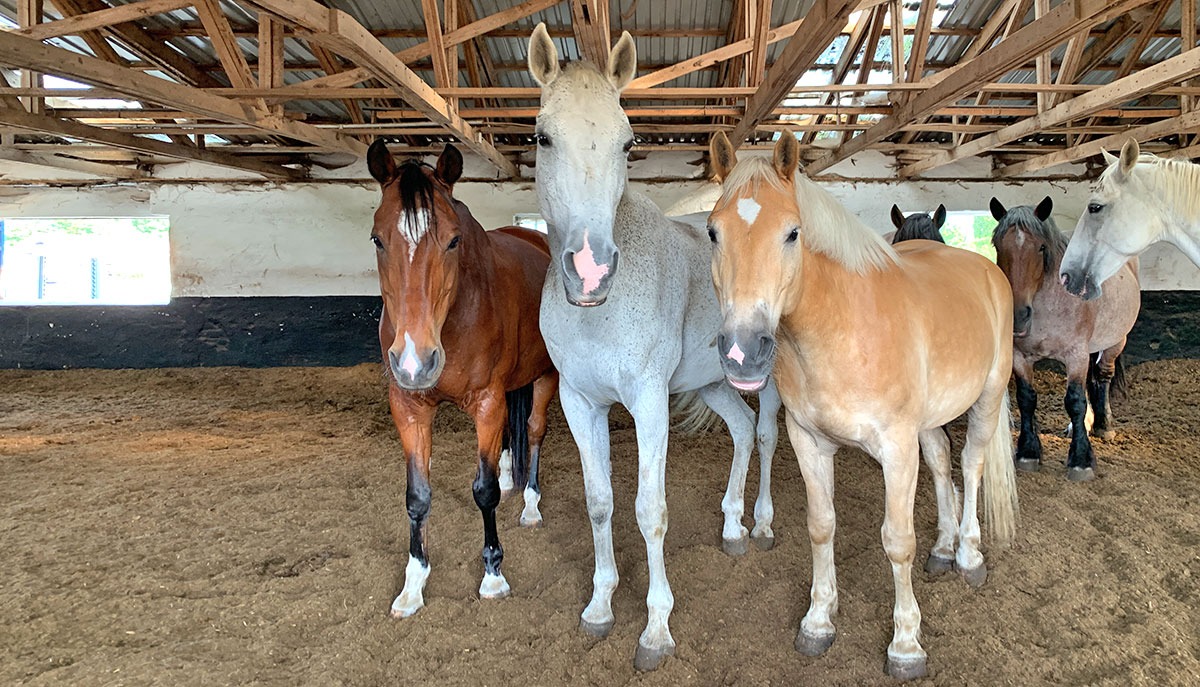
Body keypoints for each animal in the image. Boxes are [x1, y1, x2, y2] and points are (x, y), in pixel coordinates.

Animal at [364, 142, 556, 619]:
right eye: (377, 238)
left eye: (453, 240)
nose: (414, 361)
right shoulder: (408, 407)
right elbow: (417, 496)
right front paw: (413, 585)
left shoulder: (487, 402)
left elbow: (482, 492)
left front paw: (493, 575)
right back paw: (510, 478)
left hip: (547, 377)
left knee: (534, 431)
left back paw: (530, 505)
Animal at [530, 25, 782, 672]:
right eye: (542, 136)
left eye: (628, 141)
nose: (590, 269)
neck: (598, 314)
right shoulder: (579, 403)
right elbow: (599, 502)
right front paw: (599, 606)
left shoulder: (648, 402)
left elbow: (650, 510)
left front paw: (656, 628)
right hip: (715, 383)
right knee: (742, 430)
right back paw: (732, 530)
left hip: (767, 380)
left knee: (767, 434)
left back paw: (761, 525)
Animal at [705, 132, 1017, 682]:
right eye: (712, 232)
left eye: (792, 233)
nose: (743, 350)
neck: (841, 326)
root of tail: (985, 269)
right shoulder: (809, 442)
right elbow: (821, 526)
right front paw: (818, 620)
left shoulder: (896, 449)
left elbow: (897, 540)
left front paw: (906, 645)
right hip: (928, 422)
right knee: (942, 460)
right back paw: (944, 547)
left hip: (989, 397)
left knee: (971, 464)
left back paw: (968, 555)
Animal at [988, 195, 1137, 480]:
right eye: (997, 246)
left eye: (1041, 247)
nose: (1018, 315)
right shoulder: (1020, 356)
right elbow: (1027, 399)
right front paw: (1028, 452)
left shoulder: (1075, 354)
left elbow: (1075, 401)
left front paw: (1081, 459)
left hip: (1115, 341)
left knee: (1103, 376)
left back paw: (1103, 424)